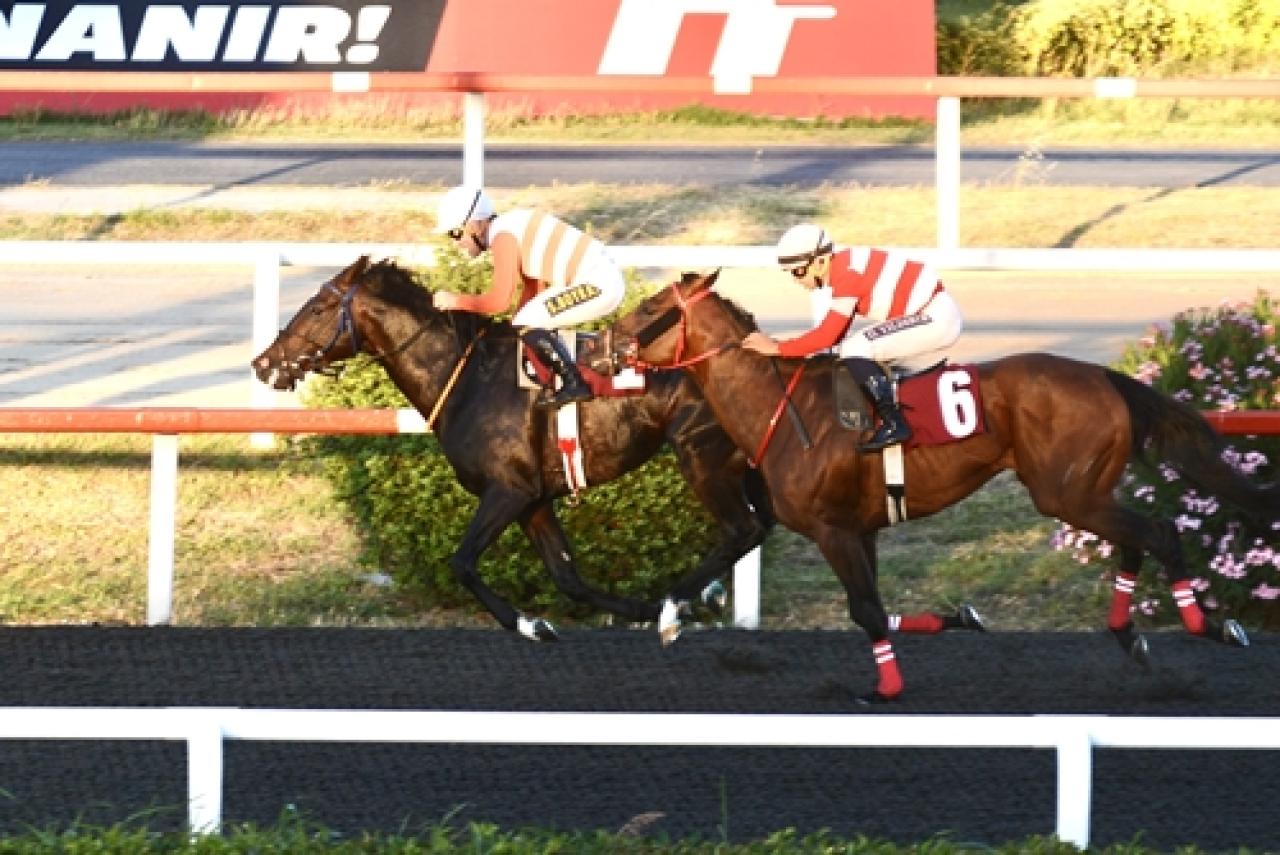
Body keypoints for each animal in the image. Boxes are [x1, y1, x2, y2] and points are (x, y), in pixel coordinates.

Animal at [606, 272, 1269, 701]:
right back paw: (1131, 636)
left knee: (1159, 531)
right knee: (1136, 539)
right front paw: (960, 619)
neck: (783, 409)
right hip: (1084, 493)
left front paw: (886, 689)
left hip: (1066, 492)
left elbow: (867, 610)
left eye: (648, 307)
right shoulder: (861, 528)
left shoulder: (832, 529)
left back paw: (1209, 626)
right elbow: (874, 608)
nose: (602, 343)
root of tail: (1105, 376)